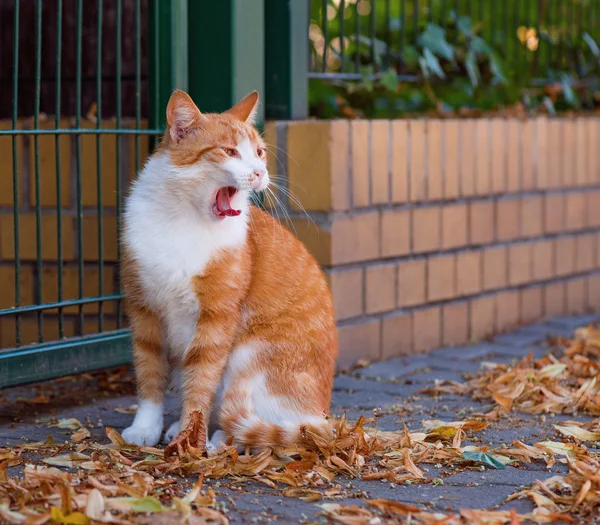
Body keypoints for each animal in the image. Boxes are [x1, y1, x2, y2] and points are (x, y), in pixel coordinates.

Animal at [119, 89, 340, 446]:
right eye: (229, 151)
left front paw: (189, 438)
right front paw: (146, 428)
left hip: (250, 355)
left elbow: (200, 381)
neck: (183, 220)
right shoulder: (144, 310)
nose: (259, 173)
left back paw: (218, 438)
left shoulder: (217, 317)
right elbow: (149, 373)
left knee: (254, 421)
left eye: (259, 153)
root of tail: (322, 414)